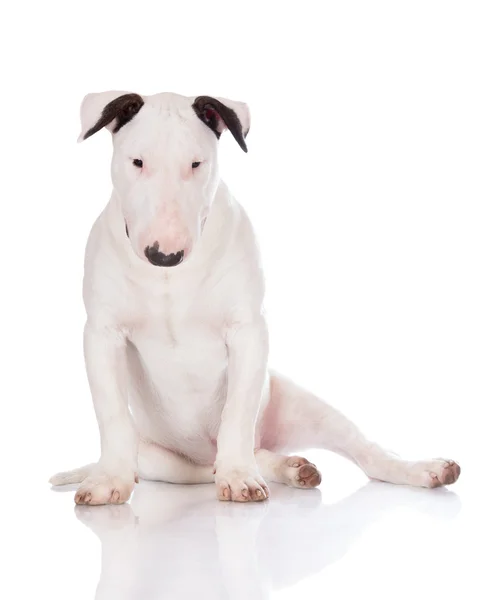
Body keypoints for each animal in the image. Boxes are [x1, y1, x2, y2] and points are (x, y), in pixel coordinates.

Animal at [49, 89, 462, 504]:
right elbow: (112, 413)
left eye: (196, 163)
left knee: (364, 453)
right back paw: (290, 467)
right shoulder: (102, 335)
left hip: (303, 406)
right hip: (164, 462)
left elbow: (238, 411)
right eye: (137, 162)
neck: (170, 279)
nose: (164, 255)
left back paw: (423, 469)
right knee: (228, 460)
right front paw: (109, 480)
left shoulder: (248, 330)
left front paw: (237, 477)